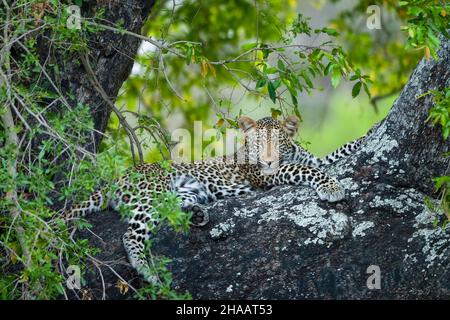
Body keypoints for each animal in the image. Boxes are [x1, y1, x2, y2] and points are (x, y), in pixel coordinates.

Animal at [64, 115, 372, 282]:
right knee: (131, 234)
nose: (268, 160)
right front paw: (331, 187)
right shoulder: (268, 176)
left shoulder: (314, 158)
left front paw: (367, 135)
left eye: (278, 143)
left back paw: (199, 213)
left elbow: (333, 154)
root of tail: (118, 177)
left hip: (183, 191)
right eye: (258, 145)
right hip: (152, 194)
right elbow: (304, 169)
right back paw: (146, 269)